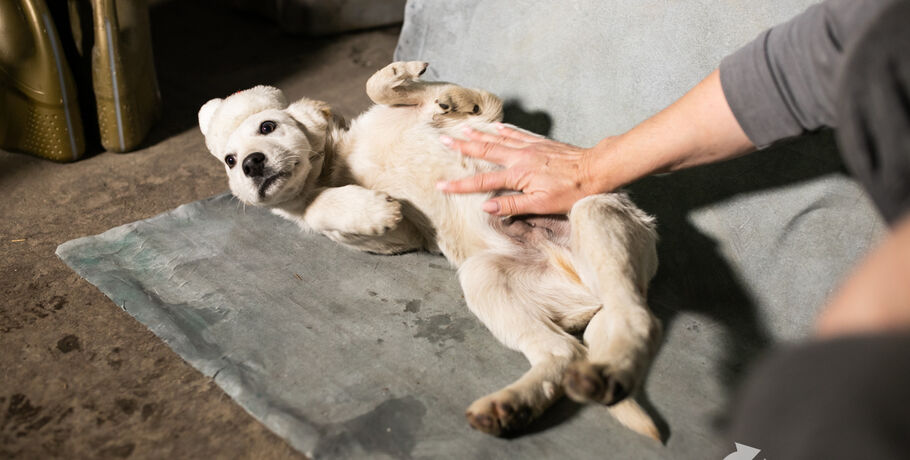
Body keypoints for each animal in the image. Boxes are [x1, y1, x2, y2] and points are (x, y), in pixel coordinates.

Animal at [201, 61, 664, 438]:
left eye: (267, 127)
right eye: (228, 160)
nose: (251, 164)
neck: (338, 163)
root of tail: (589, 297)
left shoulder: (487, 114)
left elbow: (390, 88)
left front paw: (426, 85)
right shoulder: (396, 237)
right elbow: (318, 208)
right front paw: (368, 208)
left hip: (594, 212)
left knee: (635, 318)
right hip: (484, 278)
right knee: (566, 351)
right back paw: (511, 406)